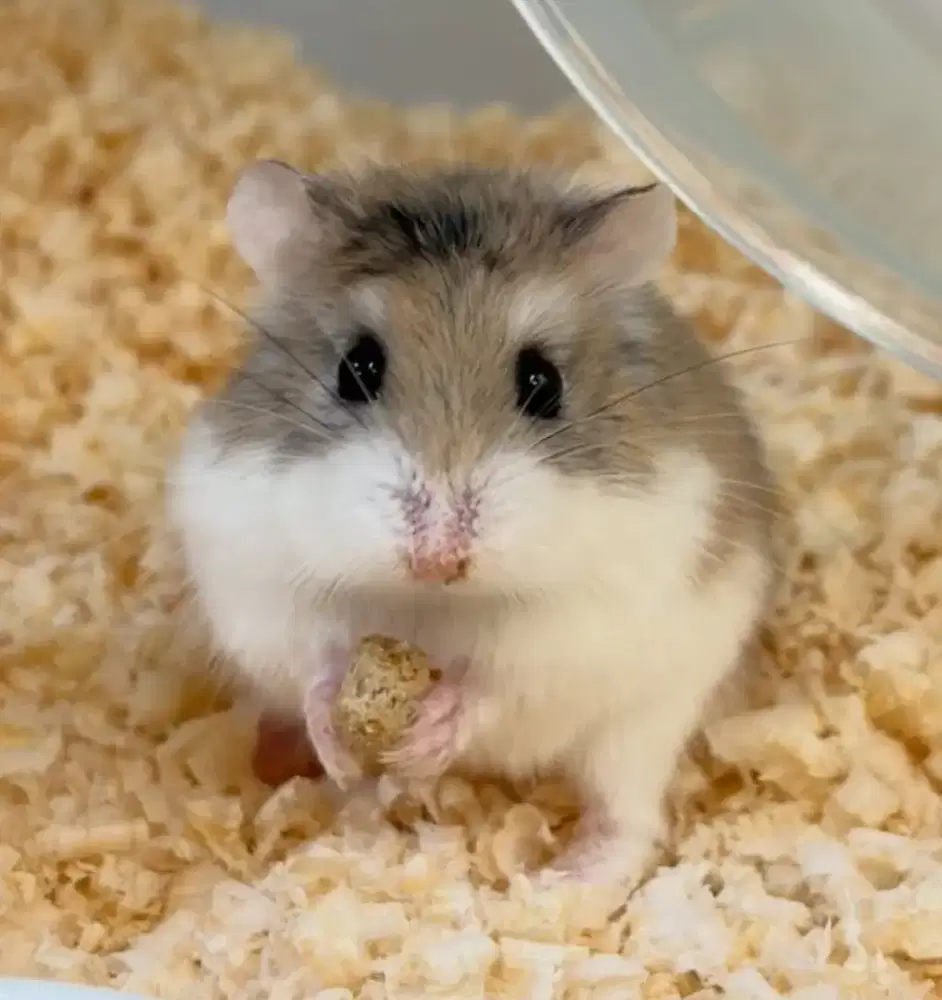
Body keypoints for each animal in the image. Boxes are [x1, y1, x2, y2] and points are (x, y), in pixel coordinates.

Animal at [169, 160, 779, 886]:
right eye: (355, 367)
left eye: (542, 382)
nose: (438, 558)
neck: (429, 605)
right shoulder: (254, 574)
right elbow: (313, 661)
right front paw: (336, 746)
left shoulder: (580, 622)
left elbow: (496, 681)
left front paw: (431, 733)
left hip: (647, 722)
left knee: (628, 817)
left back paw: (565, 880)